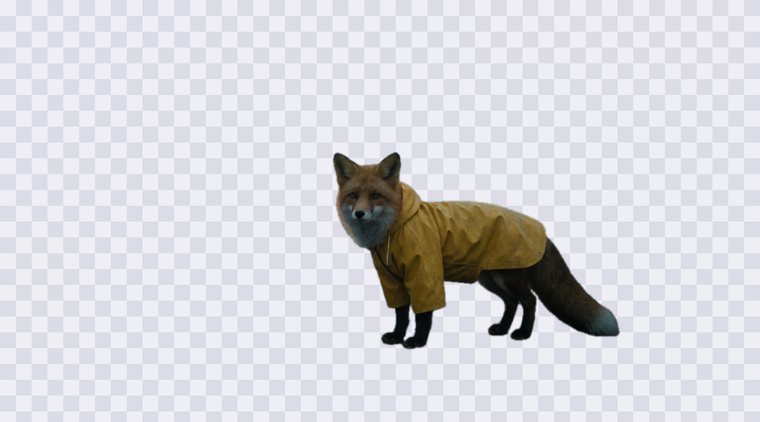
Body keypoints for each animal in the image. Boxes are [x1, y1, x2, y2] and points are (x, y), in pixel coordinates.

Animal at [334, 152, 619, 349]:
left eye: (375, 196)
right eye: (353, 196)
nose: (359, 213)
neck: (394, 228)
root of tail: (543, 233)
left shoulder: (424, 273)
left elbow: (423, 315)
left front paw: (417, 341)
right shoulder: (392, 279)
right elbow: (401, 314)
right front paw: (397, 335)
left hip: (510, 279)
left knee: (529, 301)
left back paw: (523, 334)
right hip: (491, 279)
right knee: (512, 302)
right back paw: (502, 328)